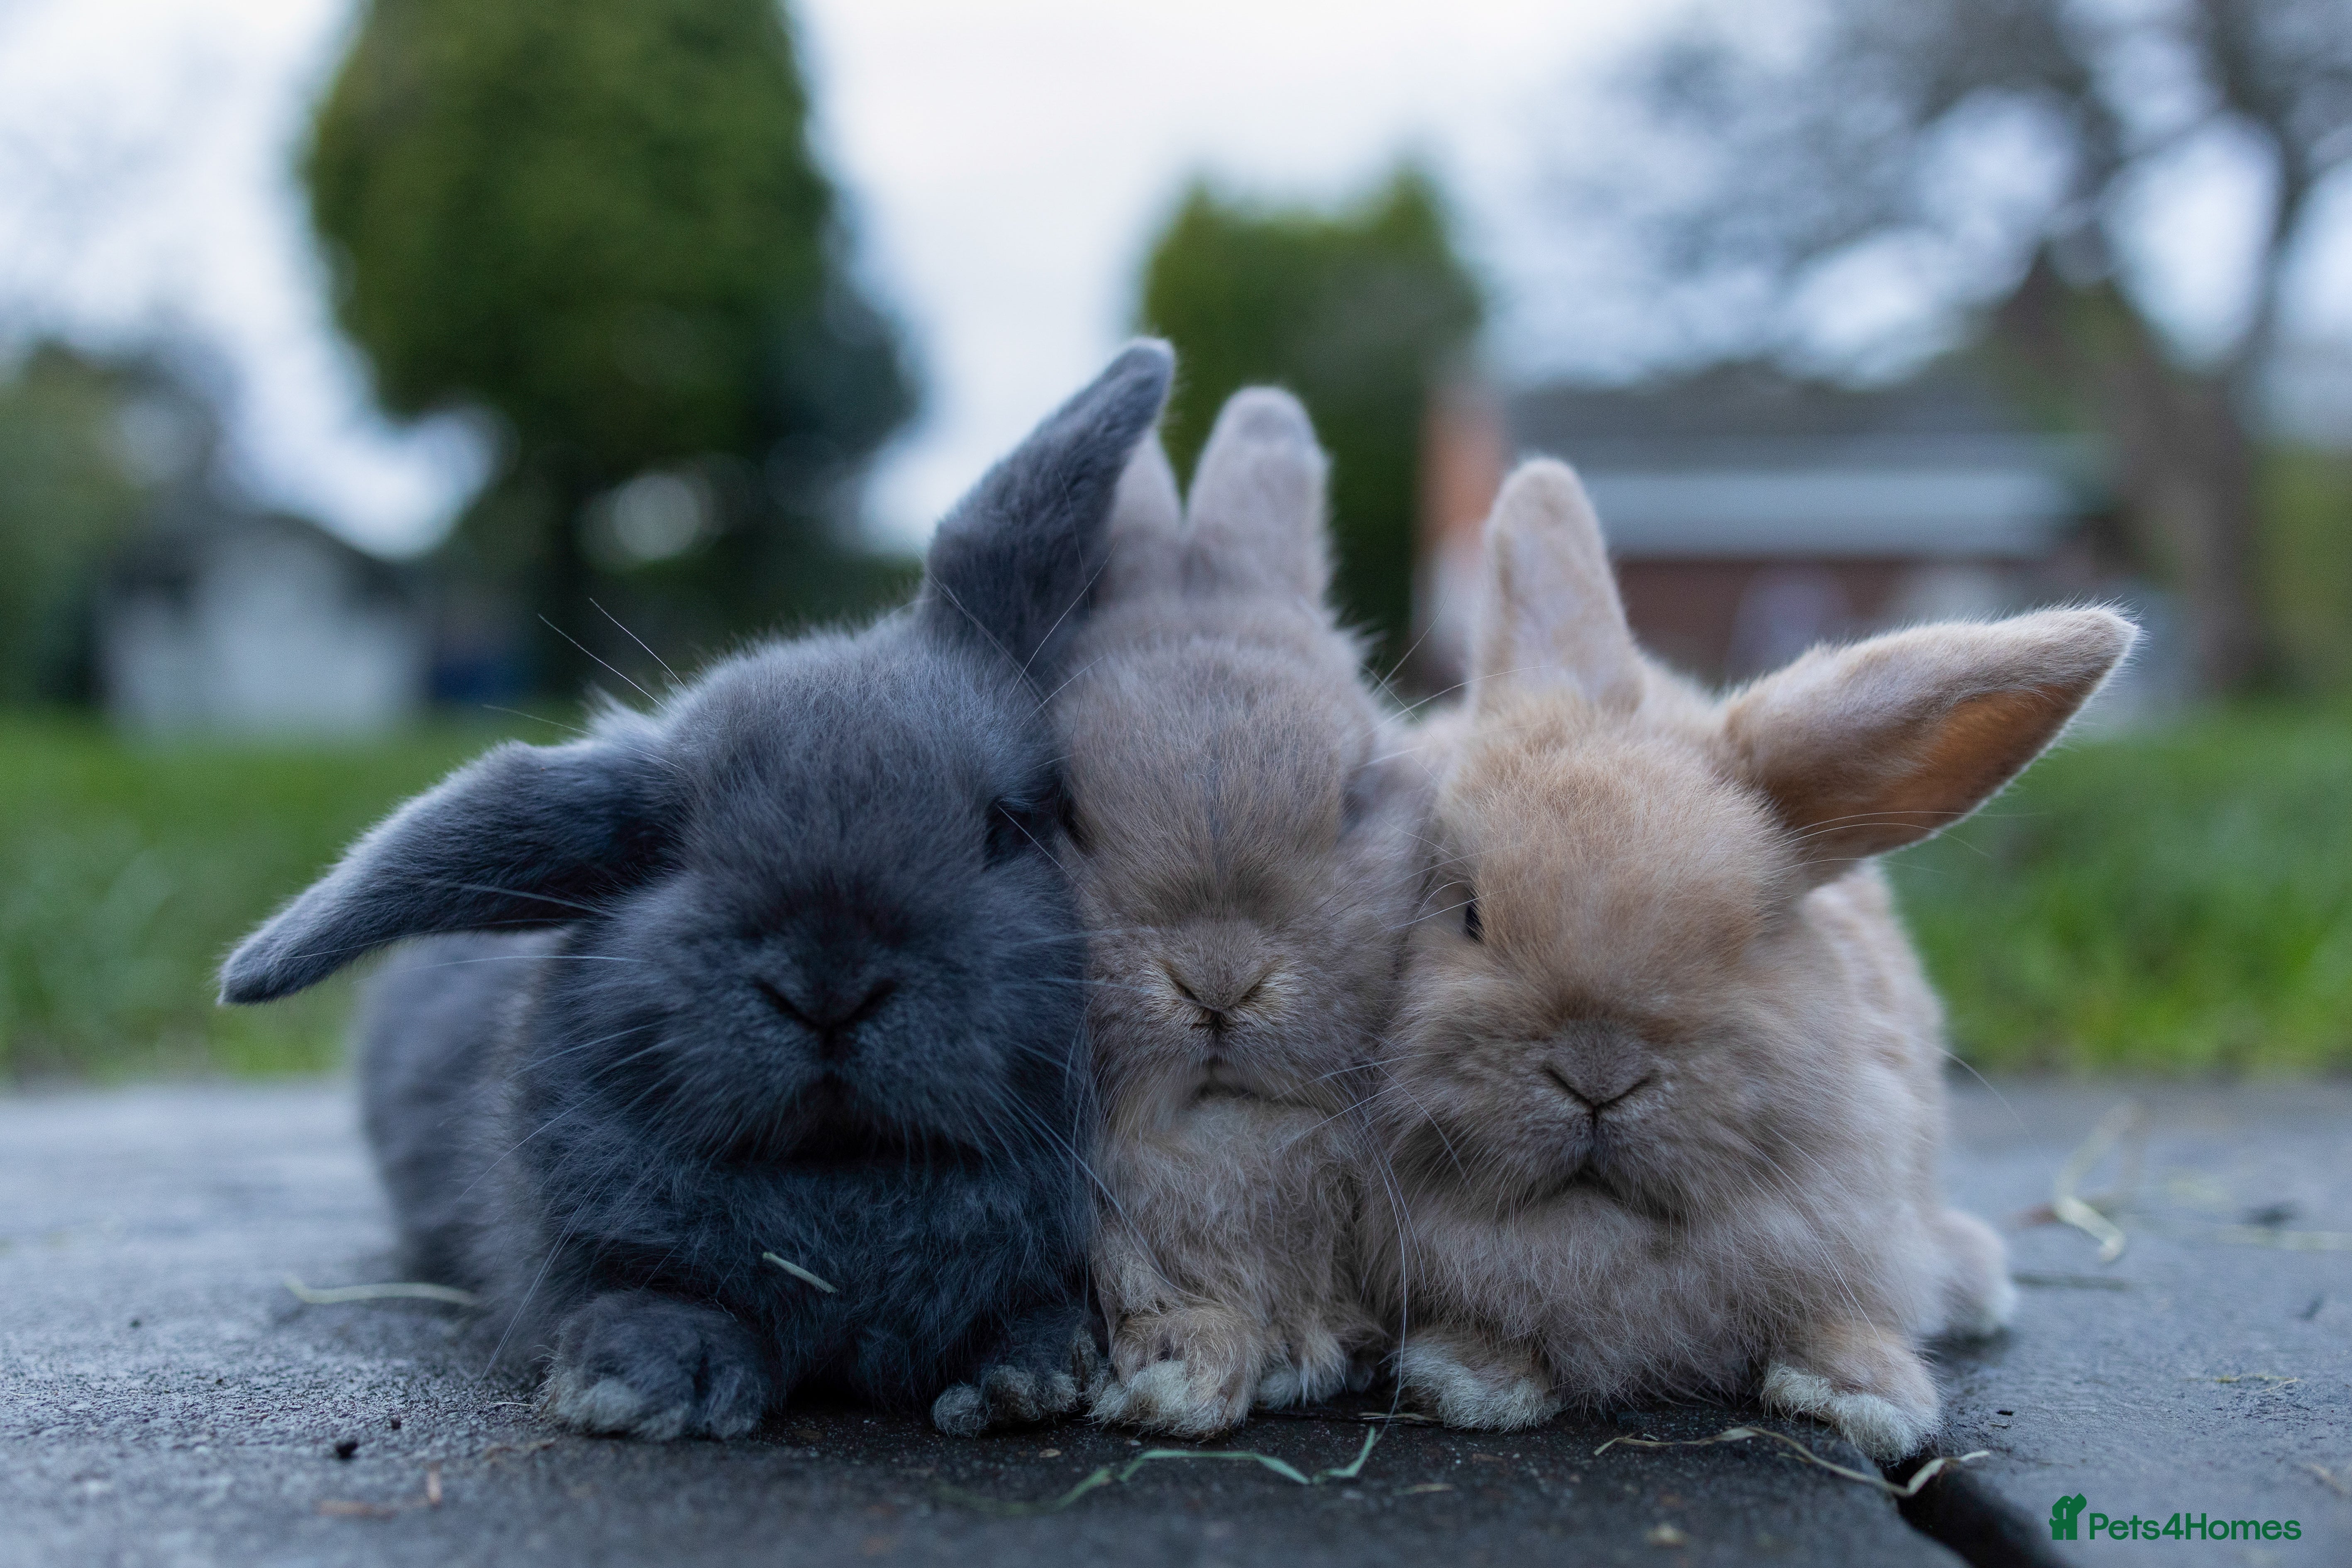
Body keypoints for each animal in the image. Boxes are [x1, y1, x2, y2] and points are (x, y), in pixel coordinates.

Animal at [217, 343, 1176, 1442]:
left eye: (1004, 828)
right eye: (669, 849)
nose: (827, 985)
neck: (840, 1183)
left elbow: (1029, 1311)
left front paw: (1024, 1378)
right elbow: (650, 1295)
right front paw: (644, 1387)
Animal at [1366, 458, 2134, 1461]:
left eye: (1751, 932)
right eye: (1468, 915)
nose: (1596, 1072)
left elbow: (1844, 1313)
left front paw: (1864, 1395)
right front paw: (1472, 1376)